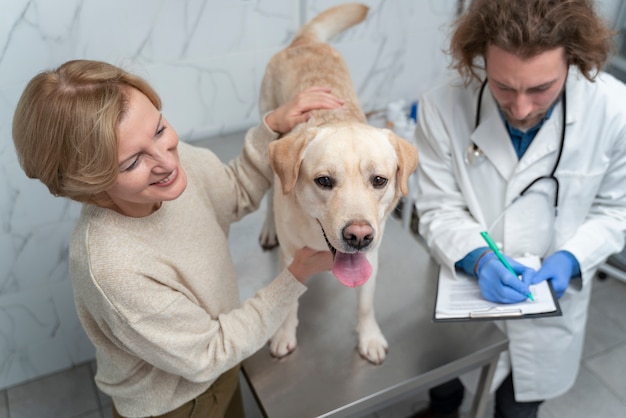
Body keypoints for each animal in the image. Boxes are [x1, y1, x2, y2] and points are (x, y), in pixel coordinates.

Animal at [258, 3, 420, 364]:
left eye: (379, 180)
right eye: (324, 181)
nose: (359, 236)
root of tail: (306, 41)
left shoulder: (371, 258)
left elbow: (366, 304)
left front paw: (369, 338)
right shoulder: (290, 258)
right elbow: (287, 303)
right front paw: (284, 334)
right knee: (270, 188)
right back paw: (268, 227)